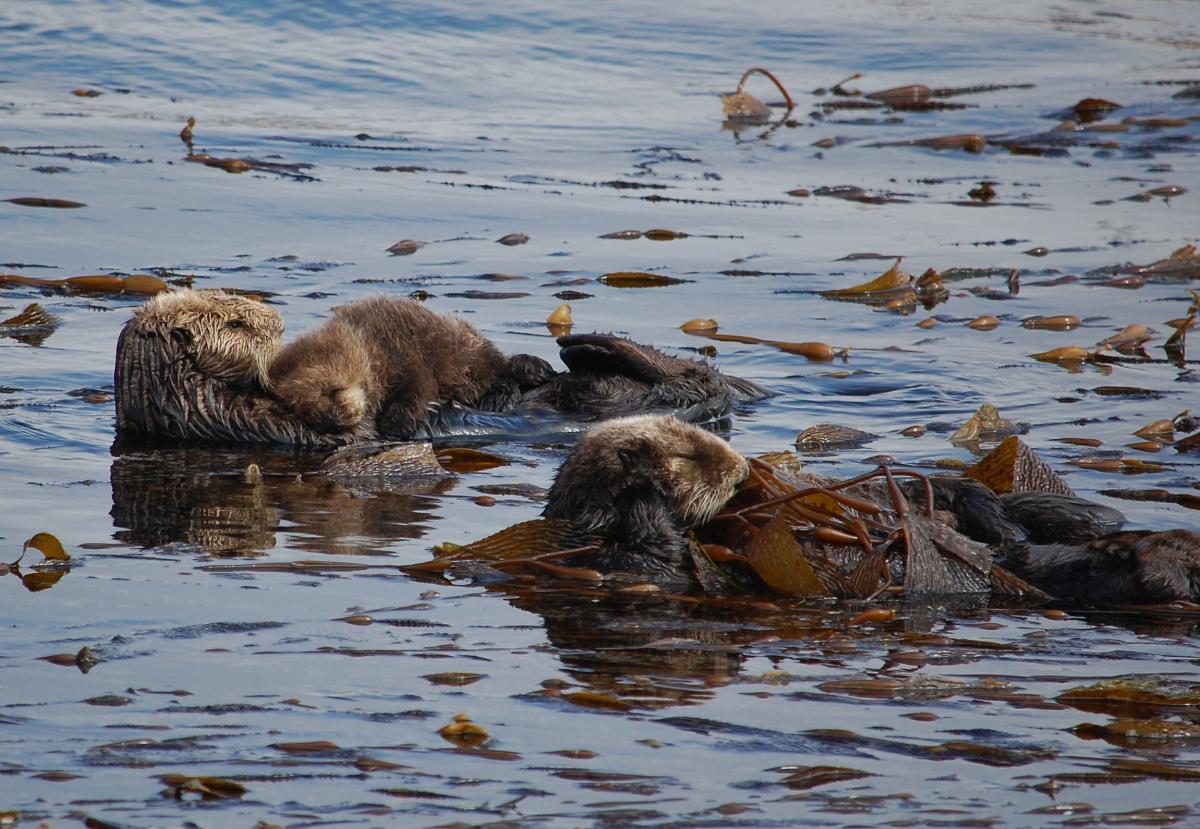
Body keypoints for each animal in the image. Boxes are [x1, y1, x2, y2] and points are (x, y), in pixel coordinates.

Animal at [270, 298, 554, 441]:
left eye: (330, 390)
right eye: (302, 409)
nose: (337, 420)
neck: (370, 349)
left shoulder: (403, 358)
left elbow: (417, 389)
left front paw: (396, 425)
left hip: (464, 351)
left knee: (497, 367)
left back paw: (512, 385)